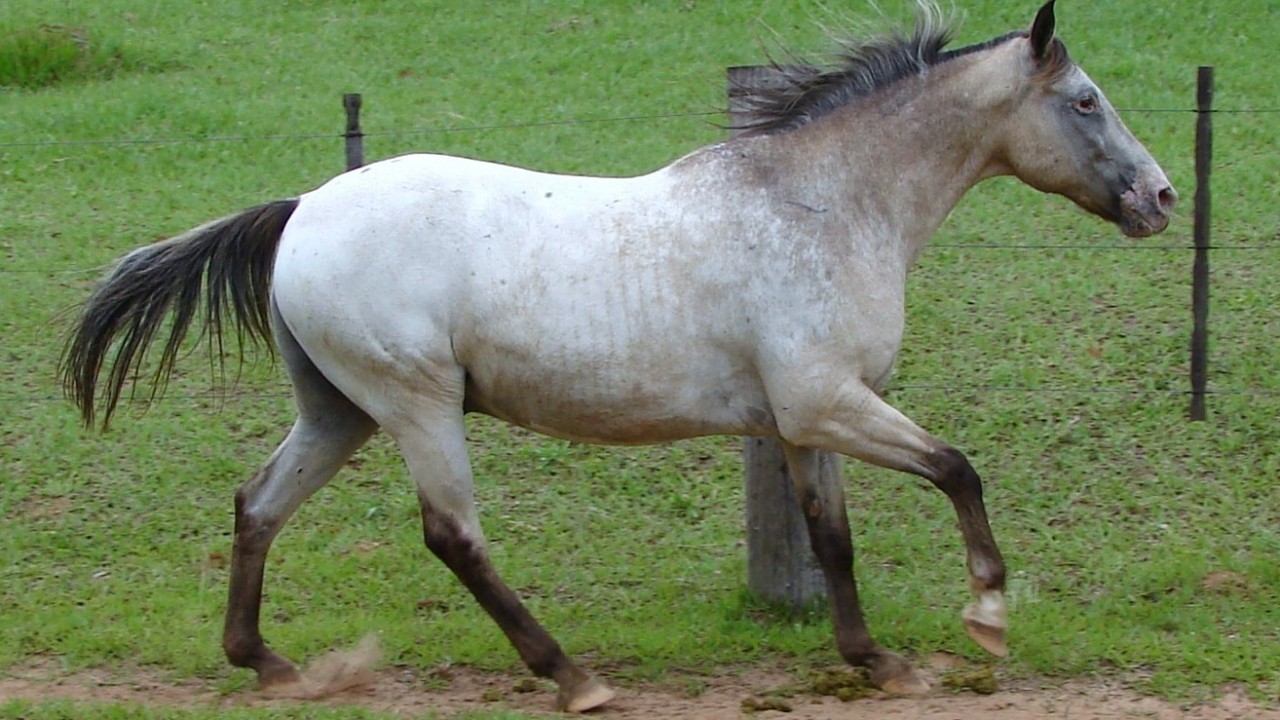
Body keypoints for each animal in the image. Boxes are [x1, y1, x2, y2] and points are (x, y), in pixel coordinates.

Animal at [62, 0, 1177, 707]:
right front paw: (986, 614)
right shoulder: (826, 402)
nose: (1161, 198)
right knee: (452, 536)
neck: (821, 204)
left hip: (339, 412)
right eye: (1084, 100)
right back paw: (572, 678)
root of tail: (300, 209)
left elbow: (833, 541)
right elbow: (957, 468)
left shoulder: (802, 418)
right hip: (415, 405)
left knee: (257, 505)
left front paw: (878, 664)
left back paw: (268, 663)